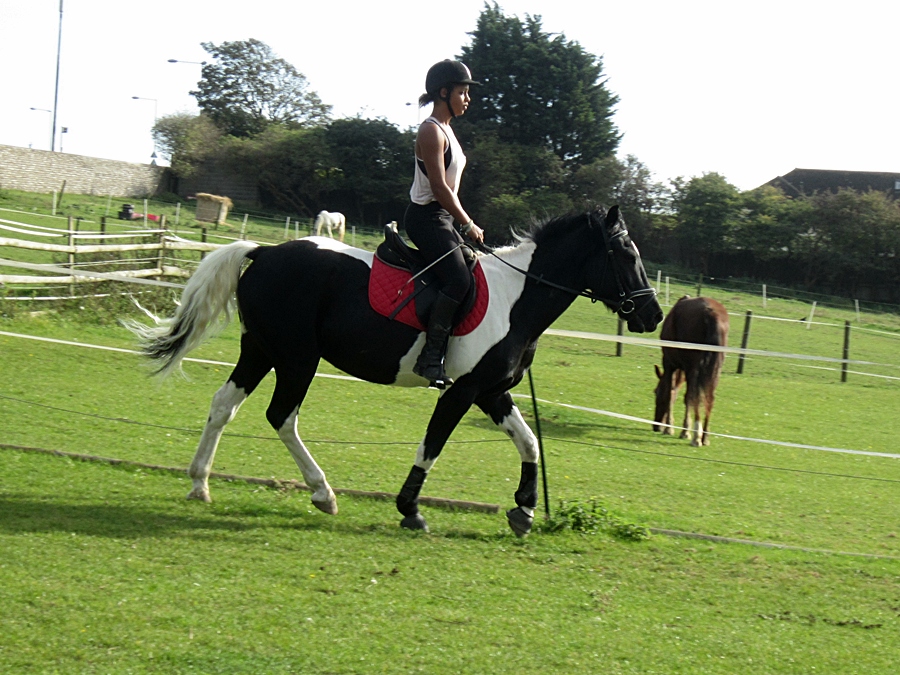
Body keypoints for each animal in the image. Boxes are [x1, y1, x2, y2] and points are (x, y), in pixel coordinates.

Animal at [126, 206, 663, 536]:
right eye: (627, 254)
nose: (653, 315)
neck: (518, 299)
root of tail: (265, 250)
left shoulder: (491, 391)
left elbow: (529, 442)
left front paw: (525, 509)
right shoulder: (461, 391)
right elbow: (432, 446)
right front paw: (411, 510)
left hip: (260, 350)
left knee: (223, 406)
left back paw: (200, 483)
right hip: (297, 358)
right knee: (282, 416)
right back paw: (323, 493)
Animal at [653, 296, 729, 447]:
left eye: (656, 392)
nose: (656, 426)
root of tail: (711, 314)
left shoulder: (670, 364)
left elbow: (672, 394)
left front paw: (671, 428)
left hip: (694, 368)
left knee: (694, 397)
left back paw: (694, 436)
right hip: (715, 369)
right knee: (709, 398)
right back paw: (704, 437)